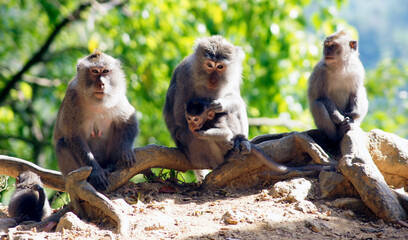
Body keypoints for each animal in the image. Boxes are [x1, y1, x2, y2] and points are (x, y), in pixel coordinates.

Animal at [53, 49, 139, 190]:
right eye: (94, 71)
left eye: (105, 71)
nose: (101, 83)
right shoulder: (72, 96)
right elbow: (74, 136)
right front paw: (96, 173)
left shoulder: (117, 95)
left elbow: (128, 122)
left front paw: (126, 150)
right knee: (61, 143)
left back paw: (111, 166)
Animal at [163, 36, 247, 182]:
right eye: (209, 65)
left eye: (220, 67)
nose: (212, 81)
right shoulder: (185, 75)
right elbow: (180, 119)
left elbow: (237, 101)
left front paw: (221, 105)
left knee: (231, 112)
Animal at [186, 97, 334, 174]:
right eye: (189, 118)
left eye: (196, 119)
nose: (191, 125)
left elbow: (225, 133)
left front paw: (200, 132)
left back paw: (228, 156)